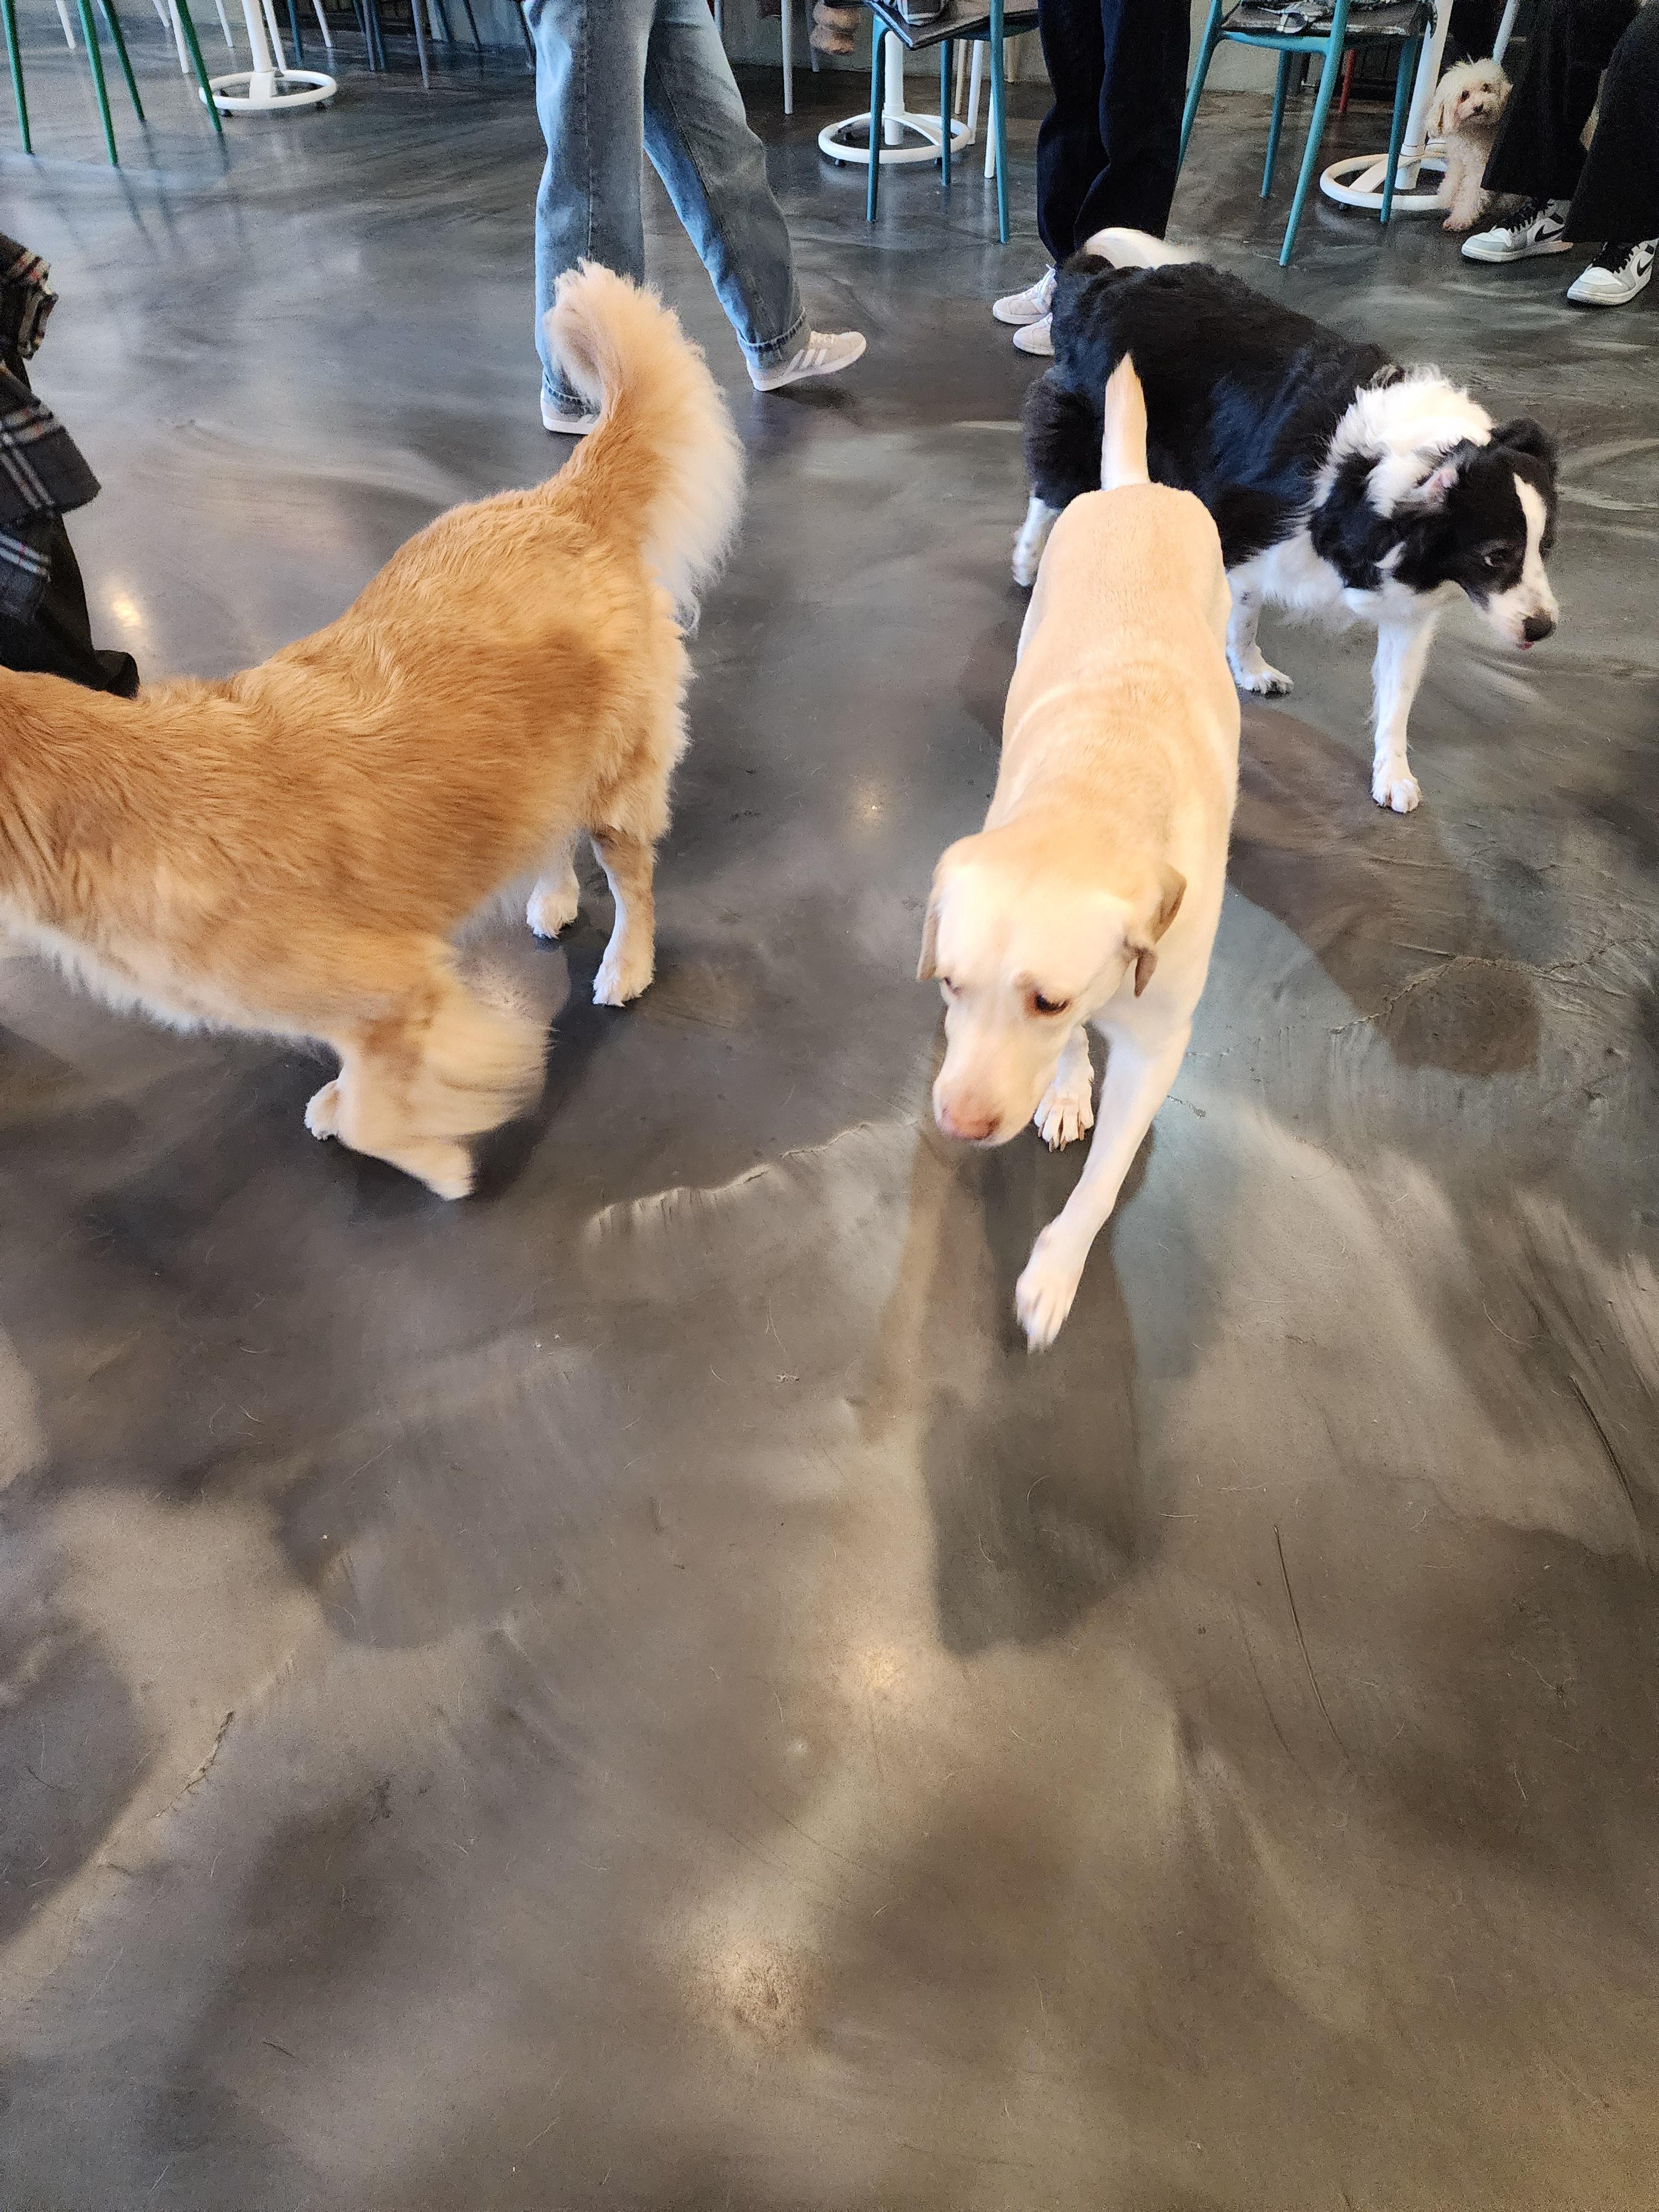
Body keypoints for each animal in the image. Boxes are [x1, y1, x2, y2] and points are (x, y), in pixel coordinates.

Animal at [0, 264, 742, 1198]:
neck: (124, 812)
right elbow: (360, 1077)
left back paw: (625, 965)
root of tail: (559, 499)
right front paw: (351, 1100)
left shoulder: (401, 987)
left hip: (617, 779)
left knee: (633, 881)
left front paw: (440, 1163)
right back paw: (552, 897)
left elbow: (377, 1113)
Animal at [922, 357, 1238, 1351]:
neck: (1096, 786)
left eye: (1046, 999)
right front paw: (1065, 1089)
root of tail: (1135, 487)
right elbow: (1072, 1061)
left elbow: (1102, 1183)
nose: (957, 1123)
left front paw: (1056, 1269)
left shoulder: (1158, 1049)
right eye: (950, 986)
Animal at [1015, 228, 1560, 814]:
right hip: (1091, 428)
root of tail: (1107, 280)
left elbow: (1396, 695)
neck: (1371, 484)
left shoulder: (1405, 607)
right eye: (1496, 555)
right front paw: (1240, 668)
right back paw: (1028, 561)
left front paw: (1392, 772)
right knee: (1051, 487)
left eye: (1545, 548)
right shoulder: (1242, 531)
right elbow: (1243, 616)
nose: (1544, 629)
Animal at [1426, 58, 1510, 232]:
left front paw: (1460, 219)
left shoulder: (1481, 169)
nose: (1479, 106)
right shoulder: (1459, 160)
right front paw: (1448, 198)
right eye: (1464, 95)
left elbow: (1472, 194)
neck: (1473, 129)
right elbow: (1453, 180)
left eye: (1486, 88)